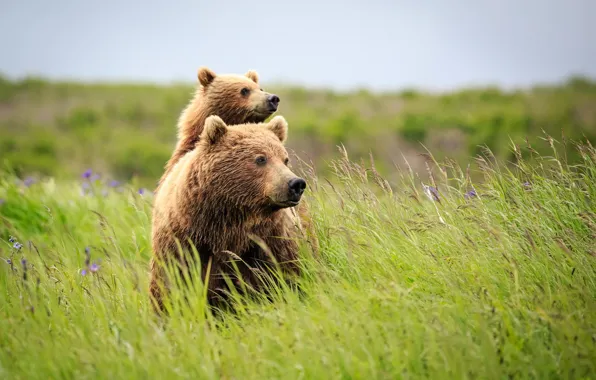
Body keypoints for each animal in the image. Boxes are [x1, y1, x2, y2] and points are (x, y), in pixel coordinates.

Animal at [149, 114, 308, 310]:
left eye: (285, 159)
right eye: (261, 159)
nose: (295, 184)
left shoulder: (269, 239)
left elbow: (284, 274)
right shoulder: (183, 242)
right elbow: (172, 283)